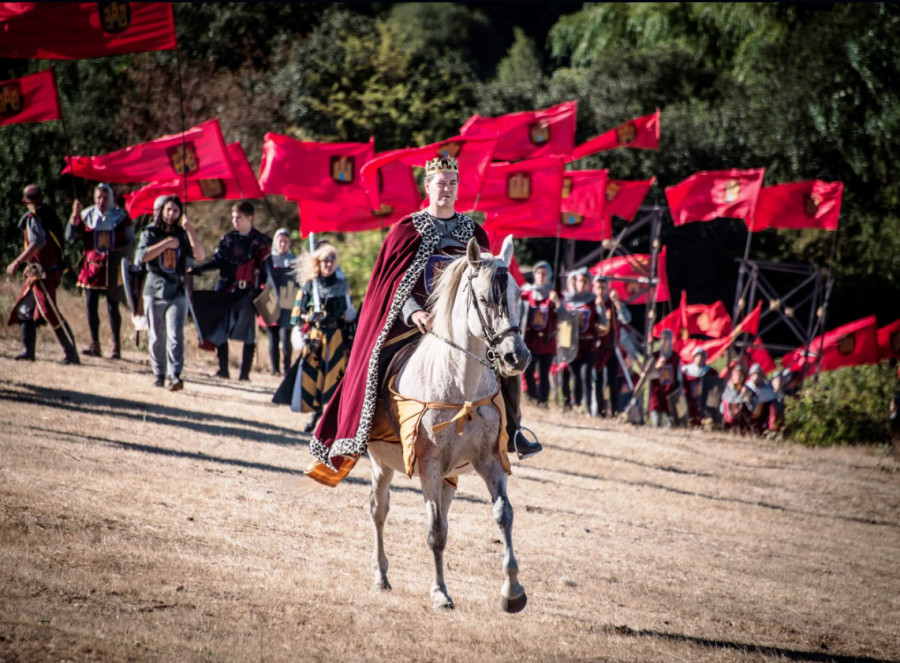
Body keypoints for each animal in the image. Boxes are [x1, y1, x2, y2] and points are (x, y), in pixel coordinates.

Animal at [368, 235, 532, 612]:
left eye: (518, 296)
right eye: (484, 299)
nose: (516, 357)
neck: (461, 387)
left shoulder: (490, 460)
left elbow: (503, 514)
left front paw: (512, 592)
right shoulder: (427, 465)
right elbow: (436, 532)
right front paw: (441, 593)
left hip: (448, 477)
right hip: (381, 463)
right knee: (379, 510)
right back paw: (381, 576)